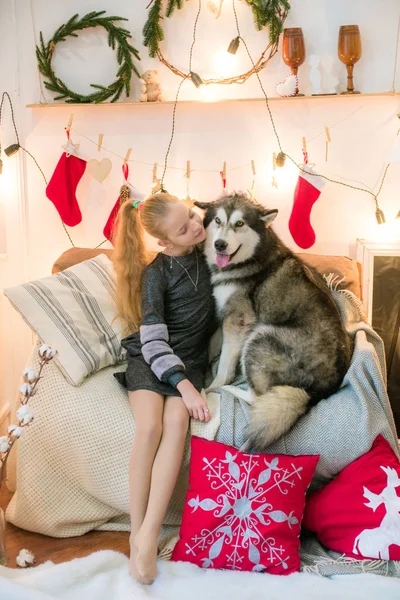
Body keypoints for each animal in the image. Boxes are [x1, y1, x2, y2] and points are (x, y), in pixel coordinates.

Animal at [196, 192, 354, 450]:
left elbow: (224, 366)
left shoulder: (239, 321)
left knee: (256, 398)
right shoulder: (224, 315)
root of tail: (319, 391)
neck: (251, 258)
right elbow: (211, 345)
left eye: (240, 223)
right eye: (217, 221)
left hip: (260, 337)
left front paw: (214, 385)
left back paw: (230, 390)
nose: (219, 244)